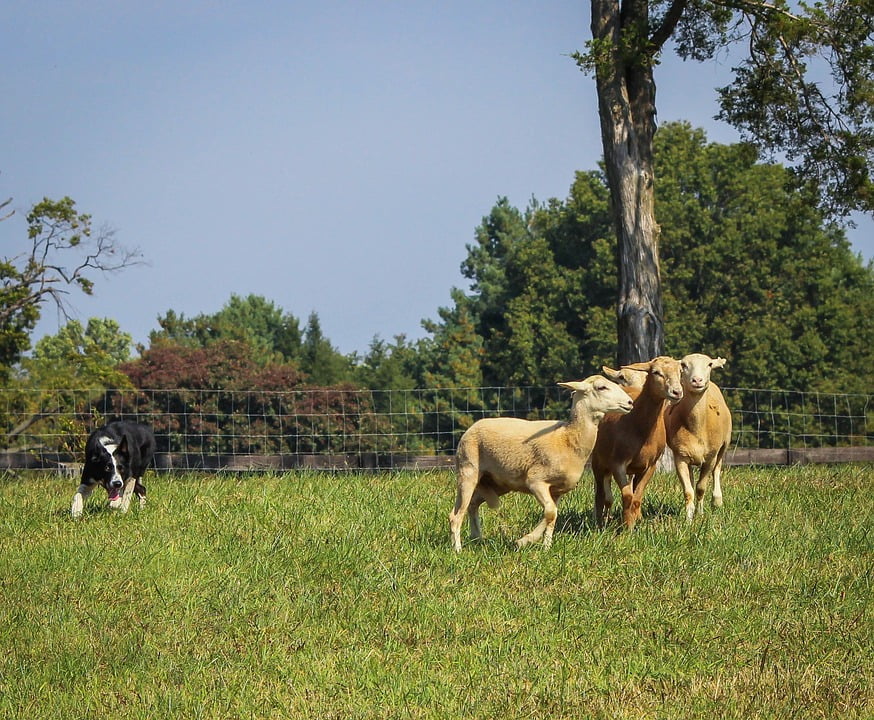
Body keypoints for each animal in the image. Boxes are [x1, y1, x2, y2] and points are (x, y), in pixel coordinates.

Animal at [449, 376, 634, 551]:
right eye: (601, 387)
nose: (630, 402)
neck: (568, 438)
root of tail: (471, 428)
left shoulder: (557, 491)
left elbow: (552, 516)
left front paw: (546, 546)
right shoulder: (535, 481)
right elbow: (550, 512)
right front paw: (525, 541)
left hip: (496, 483)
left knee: (472, 505)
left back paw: (477, 539)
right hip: (468, 470)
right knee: (456, 515)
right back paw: (457, 549)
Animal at [591, 356, 684, 530]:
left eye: (680, 371)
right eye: (656, 372)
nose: (677, 392)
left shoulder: (650, 465)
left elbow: (636, 497)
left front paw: (634, 523)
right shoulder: (617, 463)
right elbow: (627, 496)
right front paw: (626, 526)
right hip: (598, 461)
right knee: (601, 493)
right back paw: (600, 521)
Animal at [665, 353, 732, 521]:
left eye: (709, 364)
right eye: (683, 365)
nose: (697, 380)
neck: (697, 427)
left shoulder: (710, 457)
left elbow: (701, 488)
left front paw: (700, 515)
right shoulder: (680, 456)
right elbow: (688, 490)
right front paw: (689, 519)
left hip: (724, 444)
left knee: (717, 469)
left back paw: (717, 501)